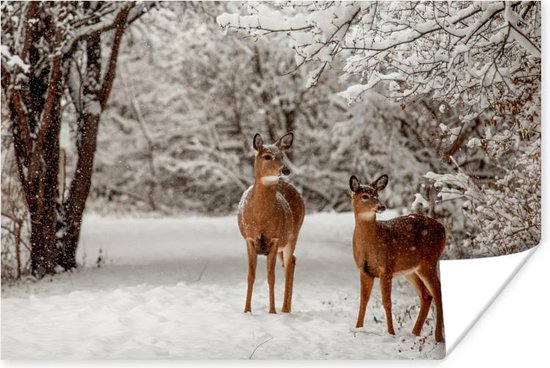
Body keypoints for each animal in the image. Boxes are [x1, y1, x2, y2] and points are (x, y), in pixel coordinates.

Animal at [237, 132, 306, 314]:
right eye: (267, 156)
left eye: (282, 155)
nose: (285, 170)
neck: (261, 218)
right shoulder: (249, 239)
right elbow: (251, 276)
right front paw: (247, 310)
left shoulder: (274, 239)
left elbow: (271, 276)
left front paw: (272, 311)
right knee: (293, 261)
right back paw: (286, 307)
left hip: (293, 235)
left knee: (288, 265)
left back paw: (284, 309)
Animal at [352, 175, 450, 342]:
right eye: (365, 196)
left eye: (377, 195)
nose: (381, 206)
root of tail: (443, 228)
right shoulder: (364, 270)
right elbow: (363, 300)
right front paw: (358, 328)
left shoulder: (386, 268)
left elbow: (387, 302)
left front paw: (391, 333)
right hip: (410, 270)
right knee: (426, 295)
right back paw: (415, 332)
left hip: (429, 261)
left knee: (437, 291)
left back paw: (438, 337)